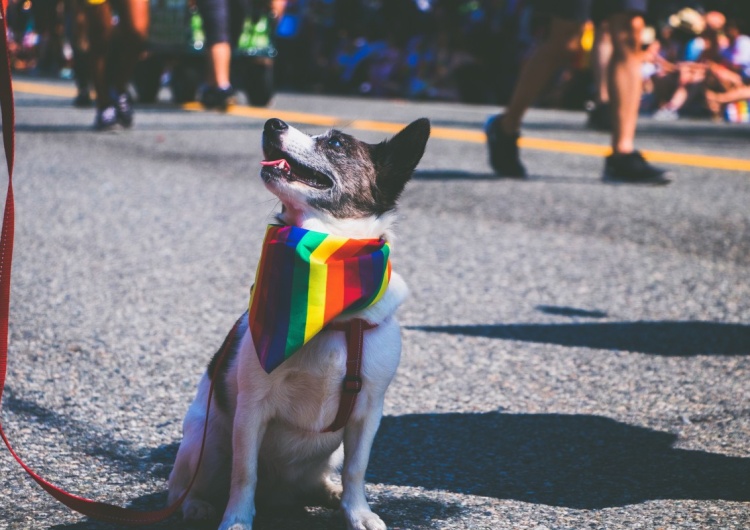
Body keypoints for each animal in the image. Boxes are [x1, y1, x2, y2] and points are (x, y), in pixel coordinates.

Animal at [168, 116, 432, 528]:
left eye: (336, 144)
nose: (271, 123)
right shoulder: (251, 411)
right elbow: (244, 472)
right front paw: (237, 519)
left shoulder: (367, 413)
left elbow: (357, 469)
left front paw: (357, 512)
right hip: (206, 441)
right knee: (183, 487)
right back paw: (196, 505)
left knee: (322, 476)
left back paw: (329, 492)